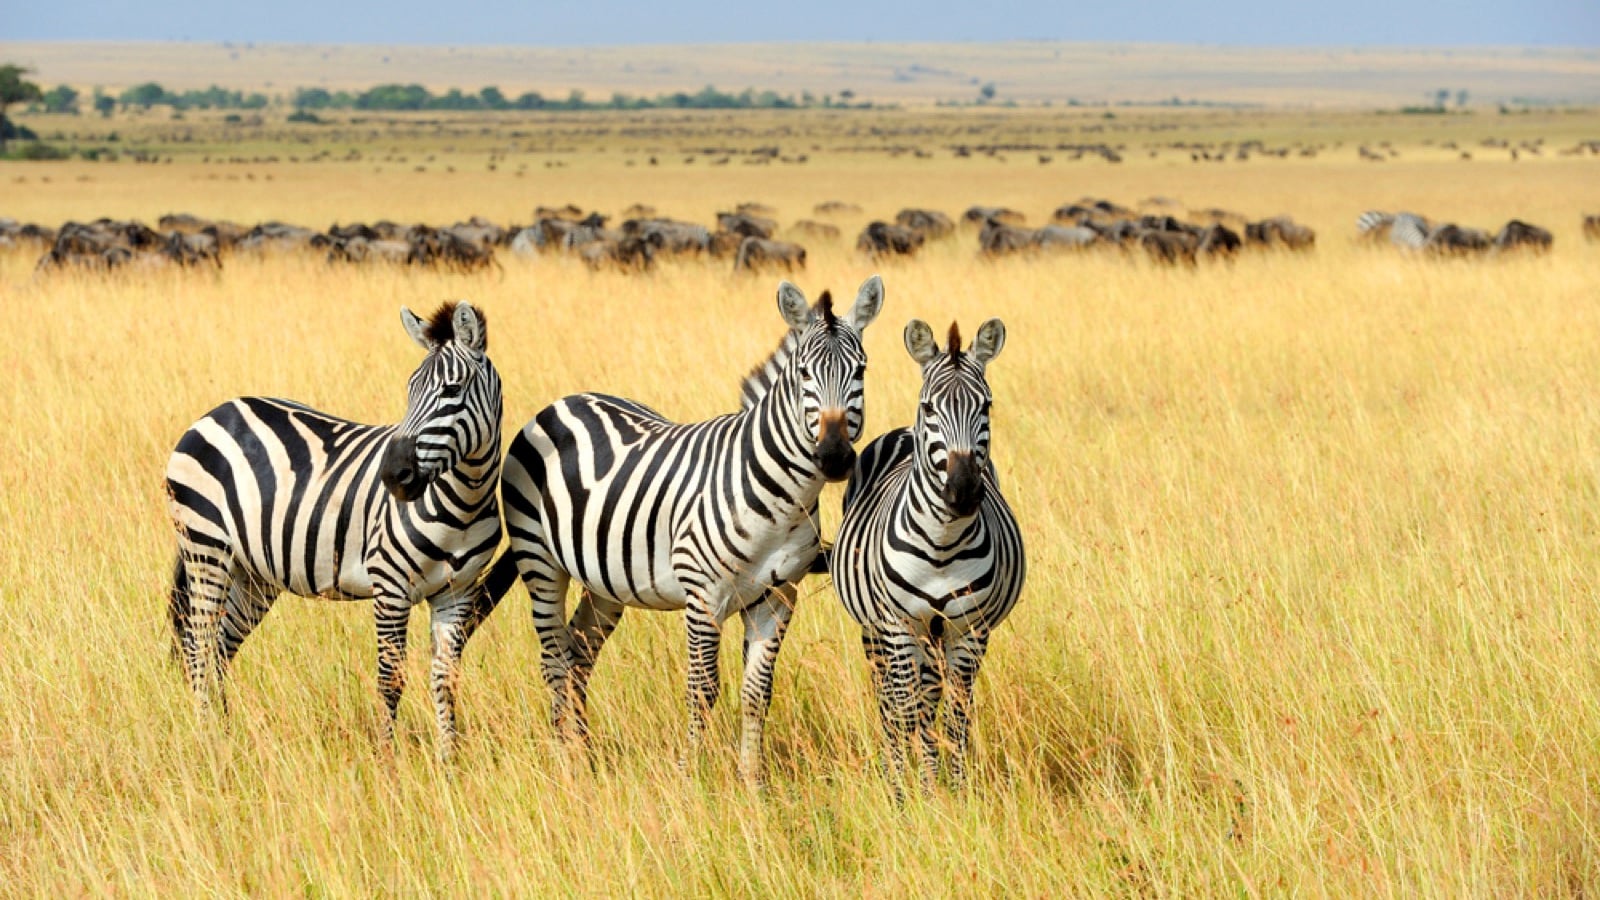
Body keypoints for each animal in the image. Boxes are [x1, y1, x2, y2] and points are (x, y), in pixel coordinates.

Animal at [165, 301, 503, 761]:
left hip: (252, 575)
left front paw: (448, 763)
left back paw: (226, 735)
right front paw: (387, 761)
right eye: (410, 389)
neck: (464, 502)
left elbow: (445, 680)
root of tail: (216, 412)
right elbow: (390, 680)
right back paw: (207, 741)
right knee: (198, 647)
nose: (394, 476)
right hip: (206, 550)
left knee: (219, 649)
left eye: (452, 390)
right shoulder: (390, 586)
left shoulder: (457, 592)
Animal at [488, 275, 883, 784]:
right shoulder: (703, 595)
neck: (780, 496)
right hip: (540, 562)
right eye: (803, 374)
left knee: (578, 653)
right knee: (554, 658)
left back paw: (586, 754)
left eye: (861, 371)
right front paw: (689, 776)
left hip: (605, 580)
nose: (833, 456)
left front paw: (752, 783)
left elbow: (757, 694)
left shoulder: (777, 598)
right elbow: (703, 688)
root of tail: (564, 401)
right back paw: (565, 761)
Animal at [828, 318, 1026, 790]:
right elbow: (906, 709)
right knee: (889, 698)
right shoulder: (898, 625)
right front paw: (908, 791)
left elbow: (954, 715)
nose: (964, 492)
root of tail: (902, 429)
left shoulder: (969, 630)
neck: (942, 542)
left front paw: (952, 788)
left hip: (936, 635)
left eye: (986, 406)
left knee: (932, 697)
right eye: (930, 407)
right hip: (877, 631)